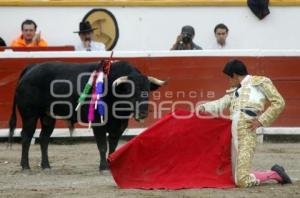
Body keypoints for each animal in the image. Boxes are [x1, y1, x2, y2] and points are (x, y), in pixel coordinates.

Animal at [8, 60, 166, 170]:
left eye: (147, 91)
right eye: (129, 91)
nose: (143, 112)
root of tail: (31, 68)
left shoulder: (119, 125)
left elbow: (113, 145)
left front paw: (111, 164)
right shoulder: (98, 123)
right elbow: (102, 145)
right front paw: (104, 167)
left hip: (48, 116)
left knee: (44, 138)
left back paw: (46, 165)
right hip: (30, 114)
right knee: (26, 136)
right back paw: (25, 166)